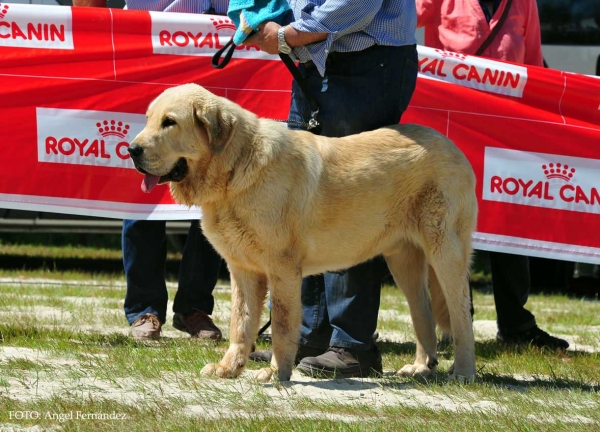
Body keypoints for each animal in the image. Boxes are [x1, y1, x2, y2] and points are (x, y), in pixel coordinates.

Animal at [129, 82, 480, 384]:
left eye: (170, 123)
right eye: (149, 120)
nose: (132, 149)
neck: (234, 168)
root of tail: (453, 147)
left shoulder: (282, 269)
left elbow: (283, 324)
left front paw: (275, 373)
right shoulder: (242, 270)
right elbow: (241, 323)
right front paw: (229, 368)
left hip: (445, 252)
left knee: (461, 314)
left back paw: (463, 371)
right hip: (403, 261)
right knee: (423, 313)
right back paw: (421, 366)